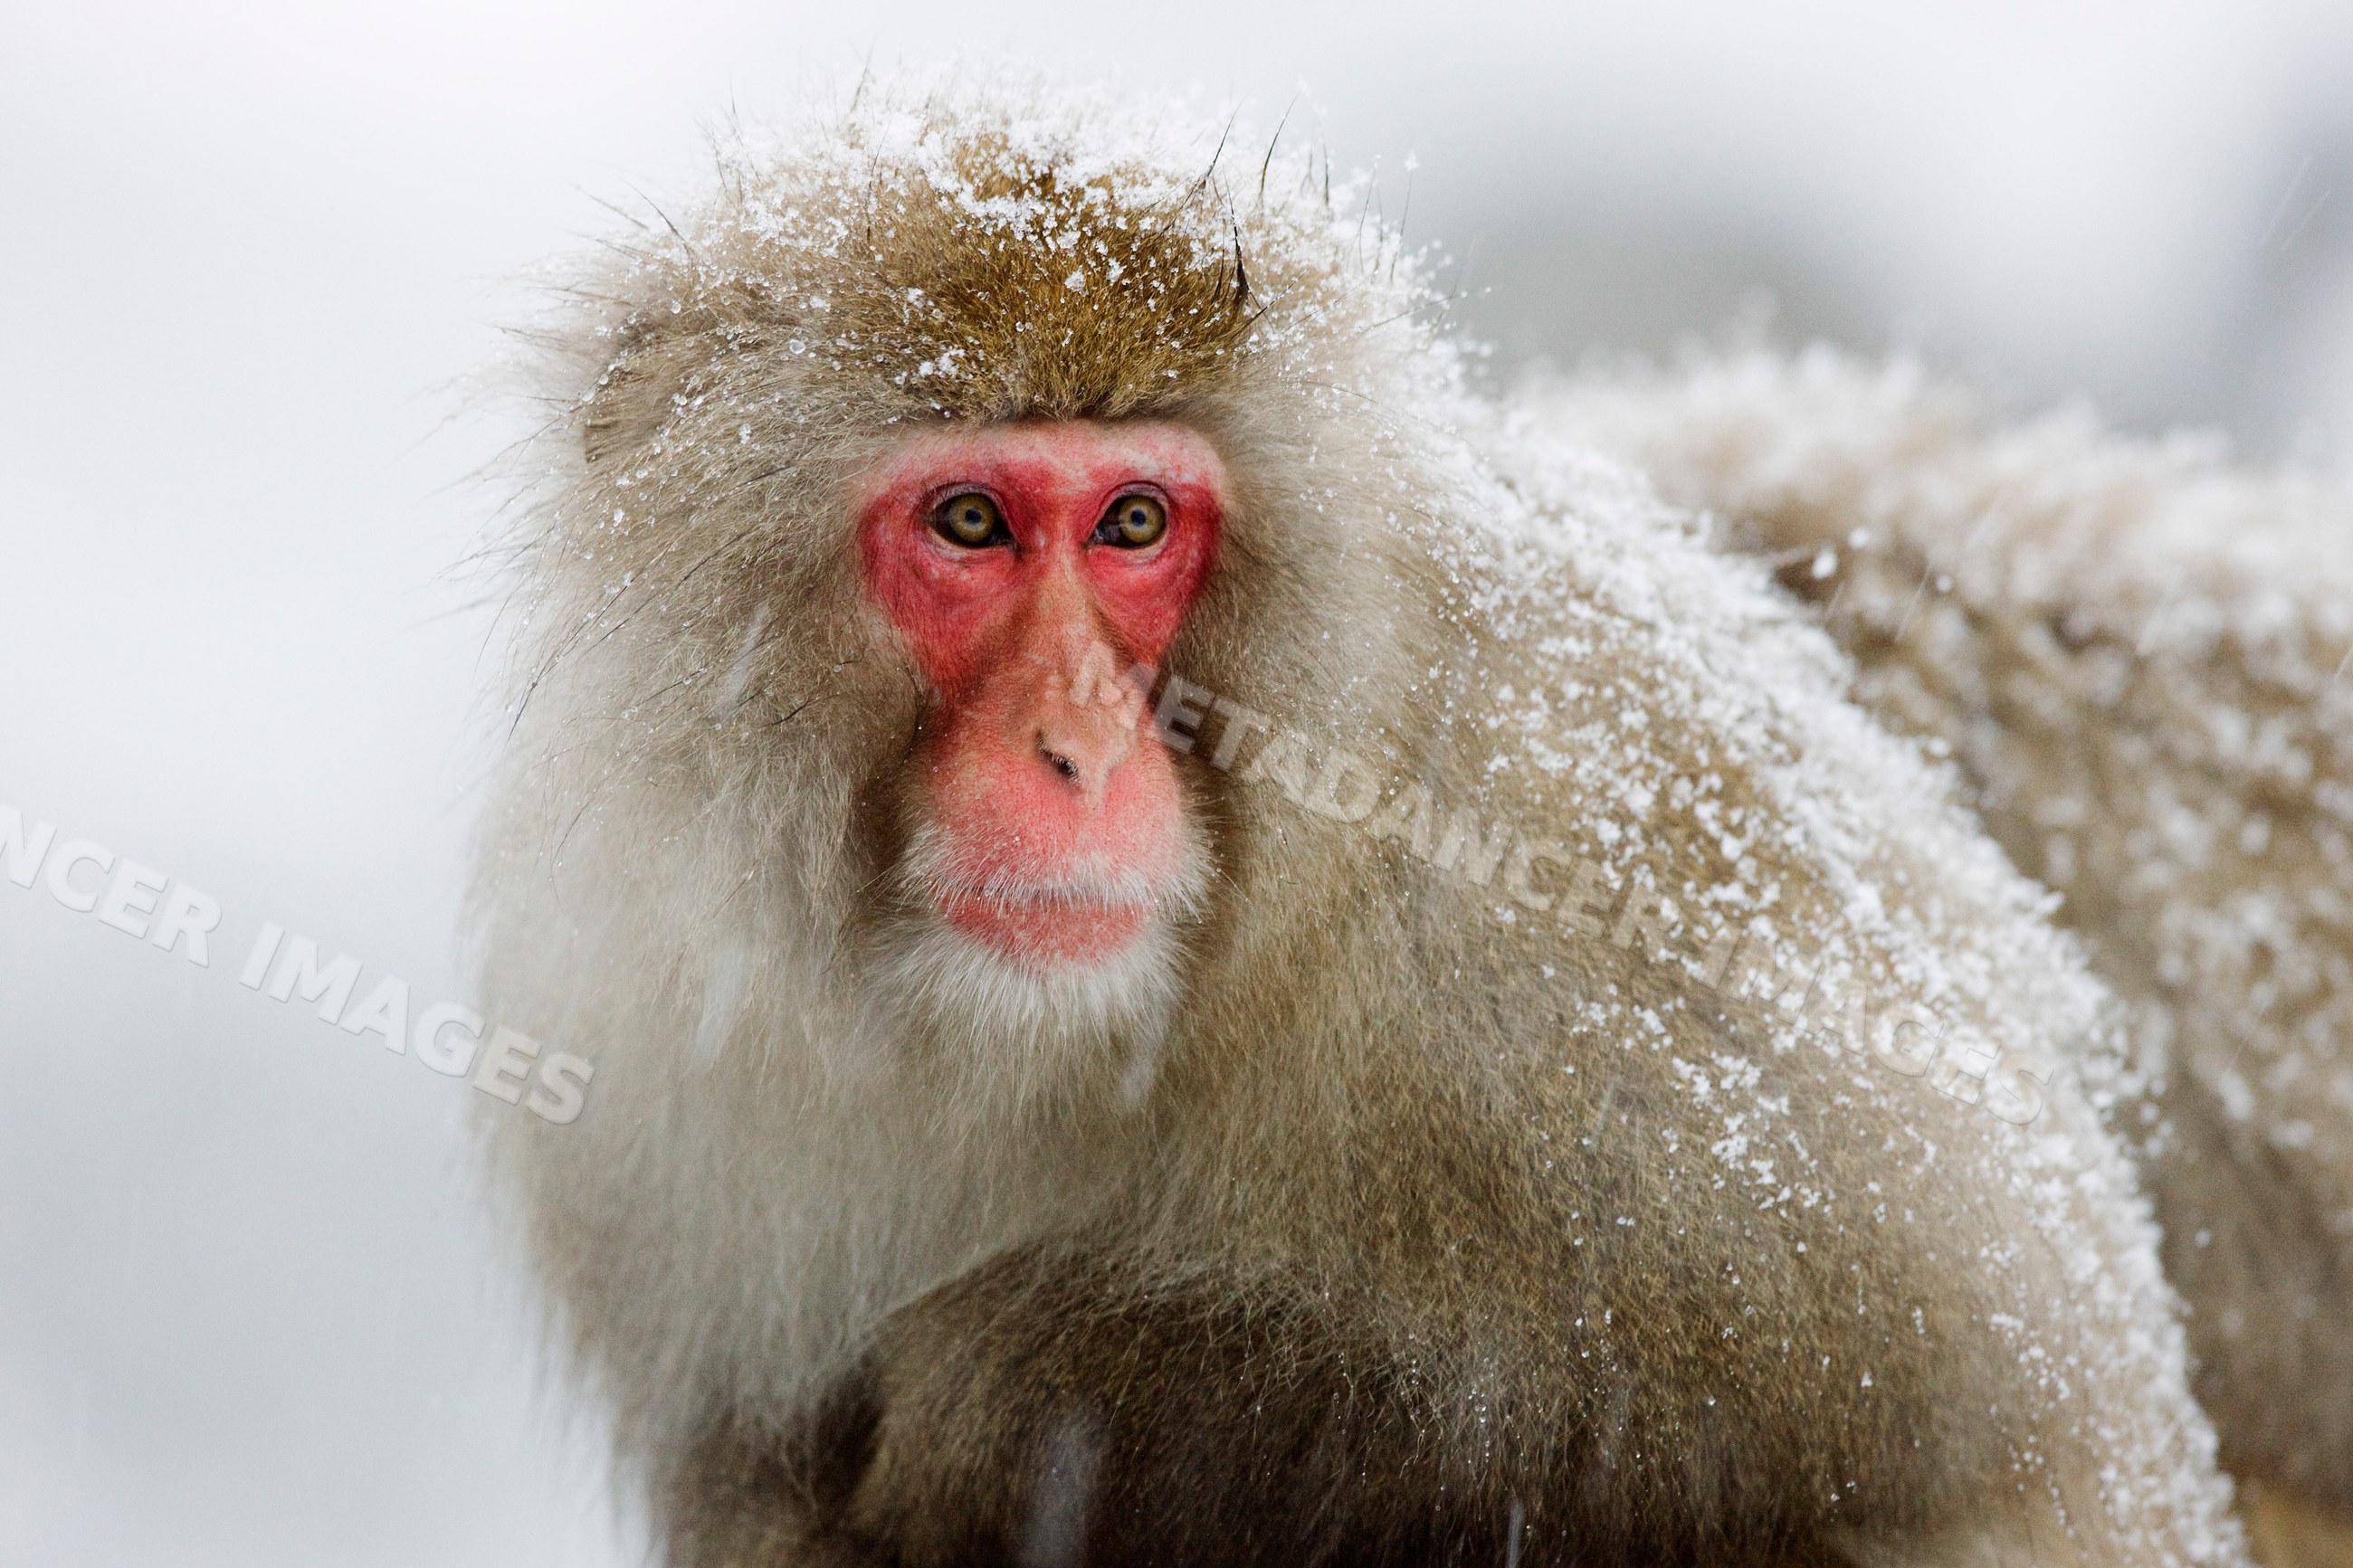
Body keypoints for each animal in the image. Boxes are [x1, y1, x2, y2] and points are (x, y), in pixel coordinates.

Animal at [471, 76, 2252, 1566]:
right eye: (969, 521)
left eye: (1134, 524)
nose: (1073, 748)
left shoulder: (1572, 888)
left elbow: (1953, 1412)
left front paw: (1025, 1400)